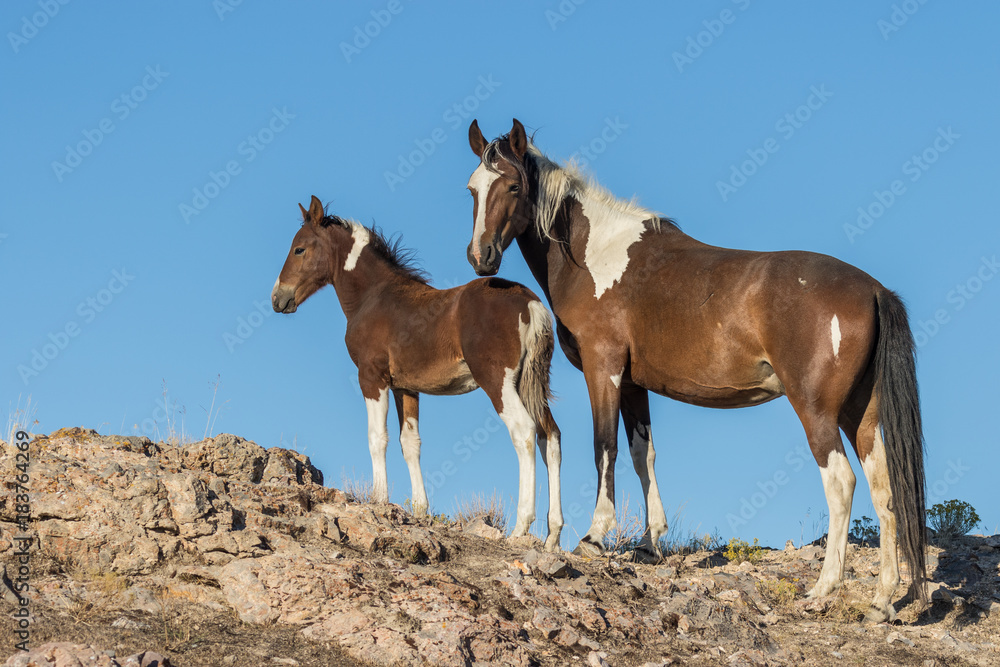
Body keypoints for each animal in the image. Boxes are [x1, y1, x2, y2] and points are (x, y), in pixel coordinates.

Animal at [272, 195, 563, 550]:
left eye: (299, 249)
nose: (277, 298)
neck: (373, 297)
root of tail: (531, 303)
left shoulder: (372, 377)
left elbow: (377, 437)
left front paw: (379, 499)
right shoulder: (405, 387)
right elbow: (410, 443)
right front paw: (420, 510)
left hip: (499, 382)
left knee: (524, 432)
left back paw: (521, 527)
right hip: (530, 383)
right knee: (551, 436)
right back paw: (553, 535)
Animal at [464, 119, 926, 621]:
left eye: (512, 186)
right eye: (473, 189)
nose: (481, 256)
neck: (596, 254)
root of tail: (873, 290)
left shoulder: (603, 369)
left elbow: (604, 447)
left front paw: (595, 535)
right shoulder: (633, 384)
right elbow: (642, 454)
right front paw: (650, 543)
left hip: (817, 410)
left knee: (841, 482)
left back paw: (823, 587)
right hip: (861, 413)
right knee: (884, 491)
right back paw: (882, 599)